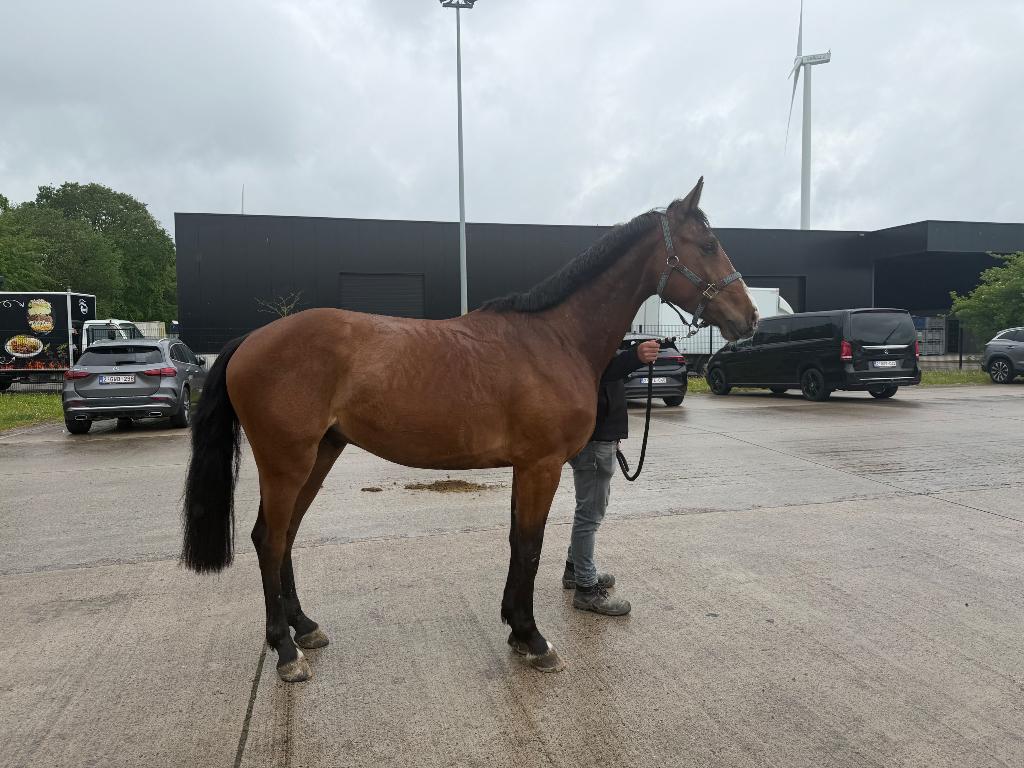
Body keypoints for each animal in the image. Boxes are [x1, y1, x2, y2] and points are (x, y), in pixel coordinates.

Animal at [181, 178, 757, 682]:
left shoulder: (527, 468)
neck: (555, 338)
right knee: (268, 539)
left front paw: (516, 631)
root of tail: (252, 339)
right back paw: (284, 652)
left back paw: (305, 628)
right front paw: (534, 640)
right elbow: (529, 547)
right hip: (287, 462)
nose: (749, 317)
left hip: (320, 455)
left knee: (286, 537)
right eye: (708, 244)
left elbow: (517, 544)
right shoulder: (541, 466)